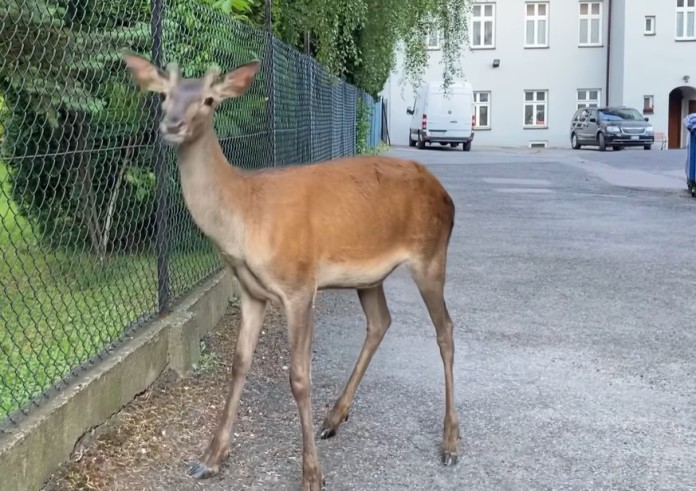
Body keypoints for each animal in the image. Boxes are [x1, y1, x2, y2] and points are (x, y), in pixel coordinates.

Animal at [121, 51, 460, 491]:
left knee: (445, 330)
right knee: (380, 322)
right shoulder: (252, 292)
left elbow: (299, 377)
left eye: (210, 100)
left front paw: (312, 475)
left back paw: (450, 442)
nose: (172, 124)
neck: (244, 218)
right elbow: (239, 364)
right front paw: (210, 458)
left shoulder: (299, 285)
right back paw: (334, 418)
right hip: (369, 276)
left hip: (431, 255)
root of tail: (447, 196)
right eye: (164, 95)